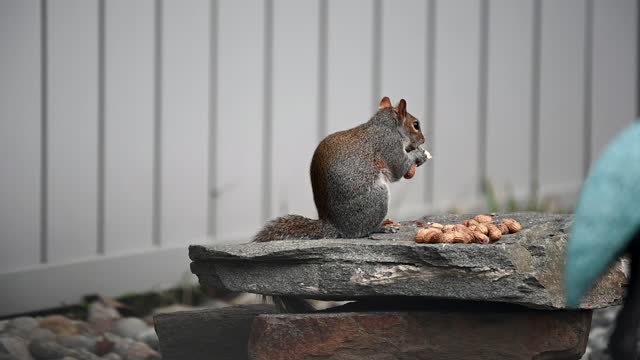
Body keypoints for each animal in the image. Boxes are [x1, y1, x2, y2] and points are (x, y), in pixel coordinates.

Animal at [254, 95, 430, 243]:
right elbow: (398, 168)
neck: (386, 126)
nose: (423, 139)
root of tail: (335, 226)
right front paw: (419, 155)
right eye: (416, 125)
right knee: (362, 231)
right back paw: (382, 227)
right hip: (377, 198)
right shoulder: (389, 145)